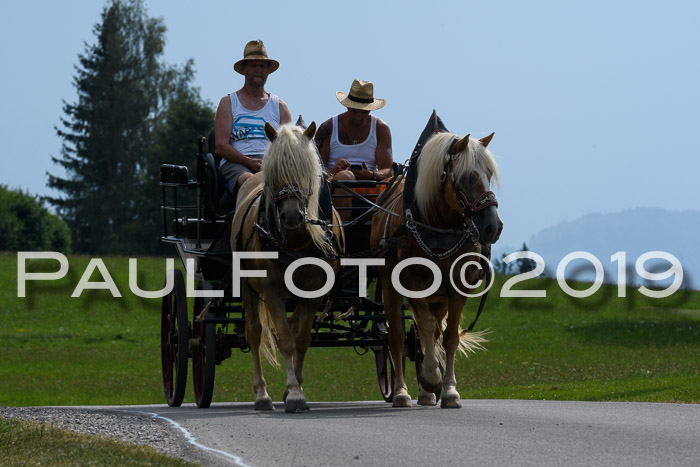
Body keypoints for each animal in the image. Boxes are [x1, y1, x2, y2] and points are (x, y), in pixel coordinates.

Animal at [231, 121, 344, 414]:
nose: (291, 216)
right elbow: (285, 339)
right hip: (247, 286)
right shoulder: (271, 291)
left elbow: (301, 339)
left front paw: (296, 388)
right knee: (254, 333)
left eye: (306, 173)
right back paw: (262, 395)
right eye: (275, 174)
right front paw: (293, 393)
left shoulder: (314, 291)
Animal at [370, 118, 500, 410]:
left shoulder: (458, 286)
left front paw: (449, 390)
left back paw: (426, 393)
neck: (437, 226)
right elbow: (424, 328)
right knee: (397, 337)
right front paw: (431, 377)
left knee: (431, 331)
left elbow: (449, 336)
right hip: (390, 285)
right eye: (468, 176)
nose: (492, 227)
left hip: (439, 296)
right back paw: (402, 392)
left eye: (489, 173)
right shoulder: (410, 282)